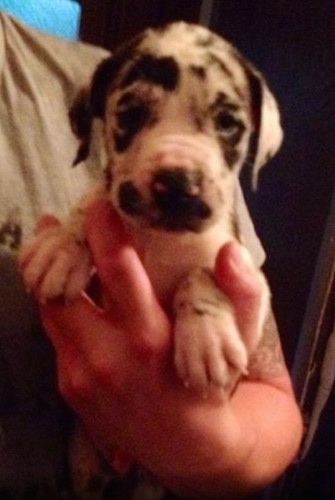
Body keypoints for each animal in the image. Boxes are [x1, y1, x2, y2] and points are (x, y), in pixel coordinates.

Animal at [20, 22, 284, 398]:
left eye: (228, 124)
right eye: (131, 114)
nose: (177, 184)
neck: (162, 239)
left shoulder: (251, 278)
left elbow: (201, 272)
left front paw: (206, 335)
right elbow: (96, 200)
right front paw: (64, 242)